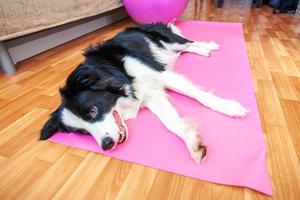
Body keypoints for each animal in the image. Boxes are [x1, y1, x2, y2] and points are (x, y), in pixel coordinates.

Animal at [39, 22, 247, 162]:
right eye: (82, 132)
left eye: (92, 110)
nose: (106, 145)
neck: (117, 73)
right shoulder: (151, 96)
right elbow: (172, 123)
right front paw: (193, 142)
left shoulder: (160, 75)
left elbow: (199, 95)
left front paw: (229, 107)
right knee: (184, 48)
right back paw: (203, 51)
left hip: (168, 39)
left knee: (187, 42)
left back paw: (208, 46)